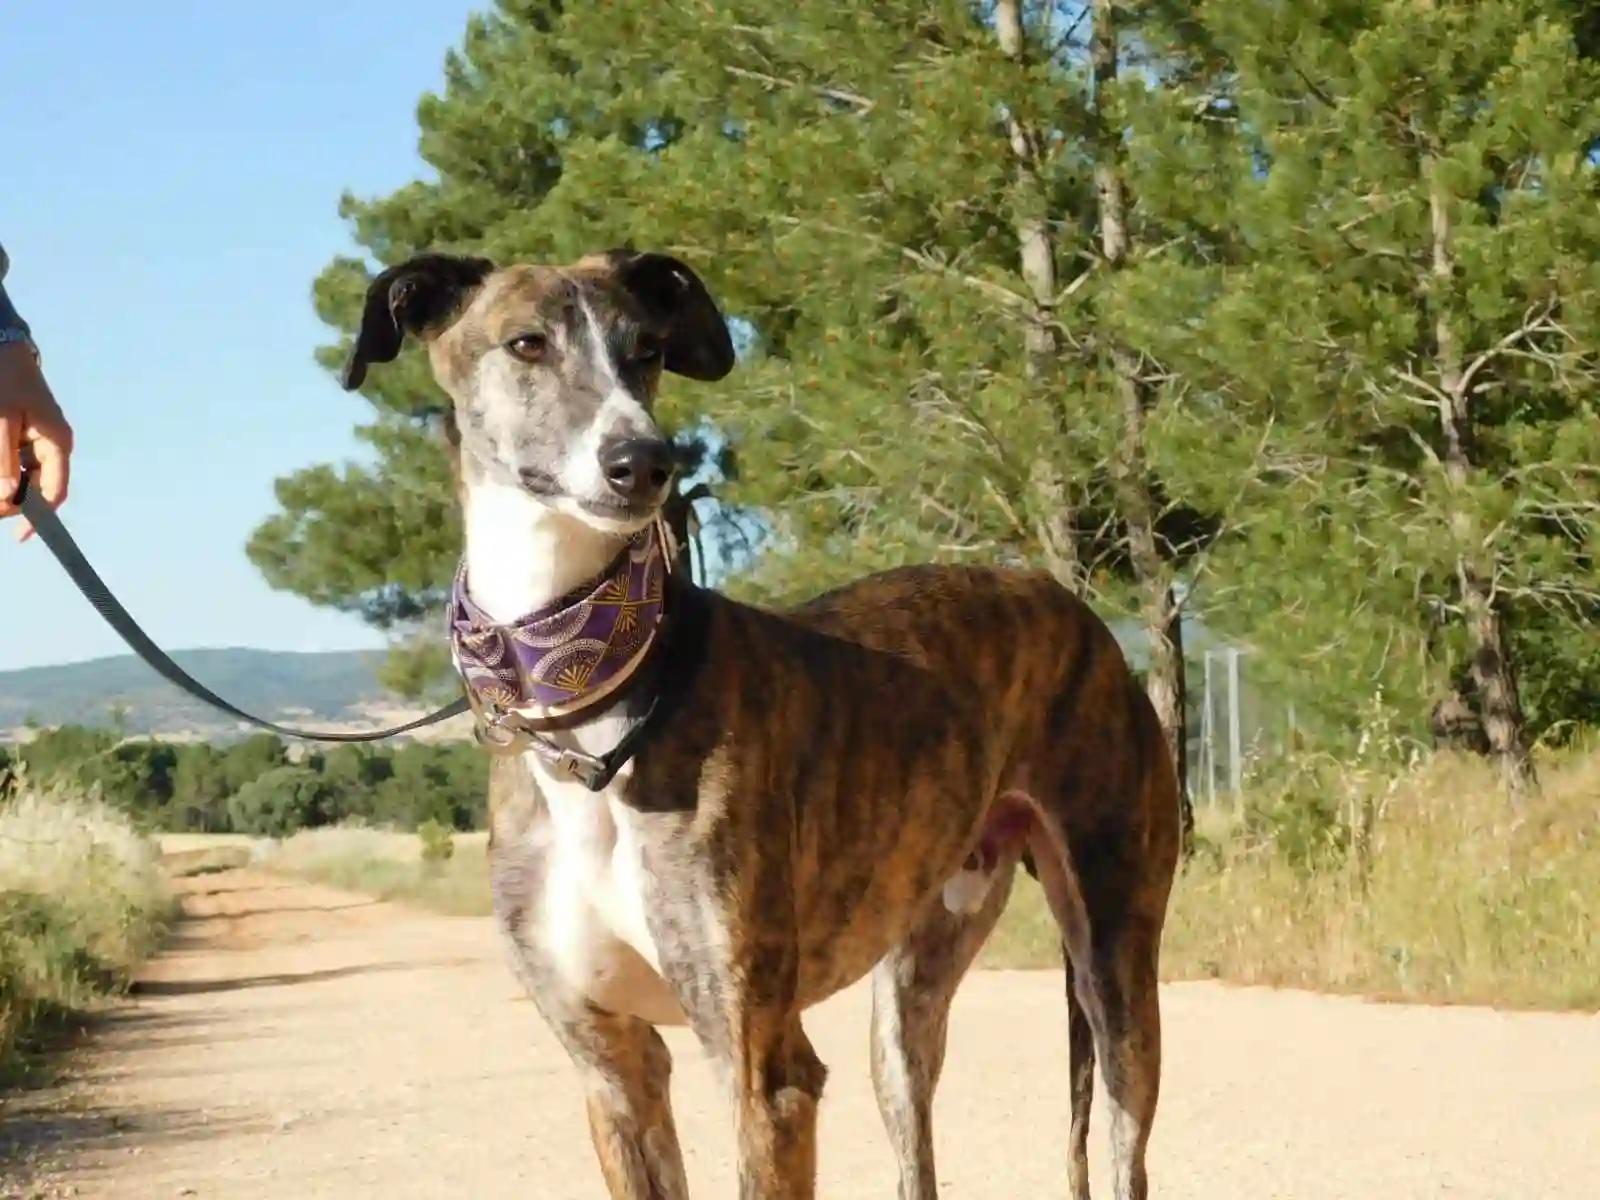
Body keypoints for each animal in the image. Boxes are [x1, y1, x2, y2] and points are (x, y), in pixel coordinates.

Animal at [344, 249, 1184, 1196]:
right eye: (526, 342)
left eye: (647, 350)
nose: (645, 461)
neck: (587, 695)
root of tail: (1073, 609)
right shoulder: (613, 1070)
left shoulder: (764, 1072)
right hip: (907, 999)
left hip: (1115, 967)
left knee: (1123, 1135)